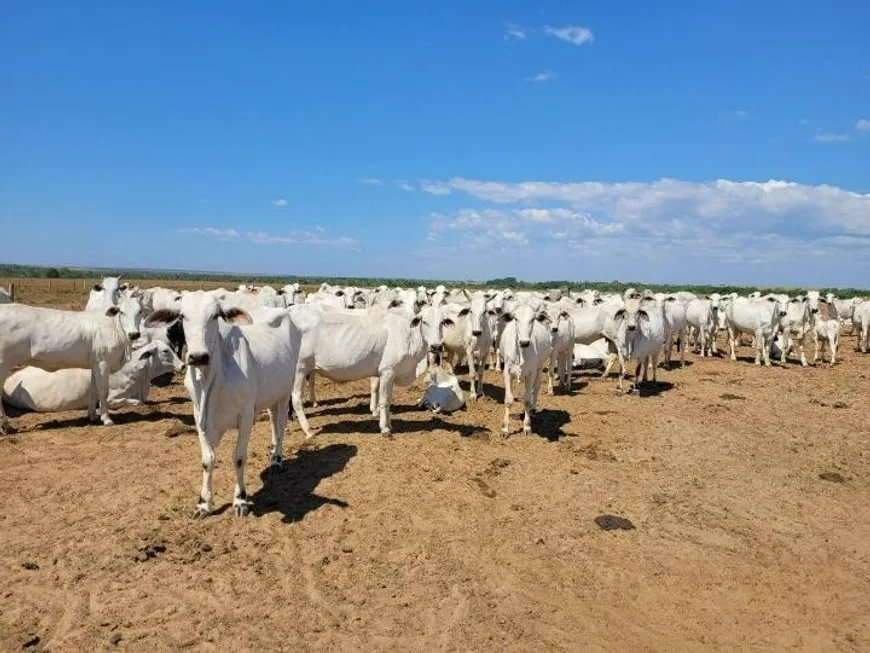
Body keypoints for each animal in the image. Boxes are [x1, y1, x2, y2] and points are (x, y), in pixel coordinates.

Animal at [0, 294, 143, 428]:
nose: (134, 334)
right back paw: (5, 426)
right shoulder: (103, 363)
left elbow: (94, 390)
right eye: (121, 312)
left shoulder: (95, 364)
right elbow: (103, 391)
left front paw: (92, 416)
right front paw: (106, 419)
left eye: (140, 311)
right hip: (3, 363)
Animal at [145, 292, 302, 516]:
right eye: (182, 316)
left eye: (215, 316)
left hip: (285, 392)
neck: (212, 380)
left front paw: (240, 500)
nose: (198, 357)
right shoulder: (200, 417)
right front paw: (203, 503)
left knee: (280, 426)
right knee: (273, 422)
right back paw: (273, 453)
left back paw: (276, 460)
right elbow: (207, 460)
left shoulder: (246, 416)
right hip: (271, 395)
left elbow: (239, 458)